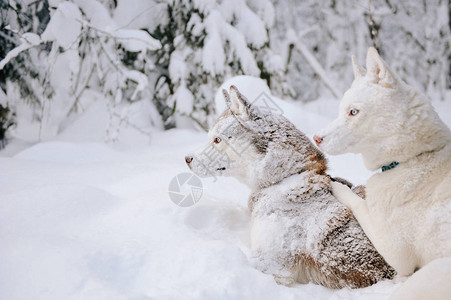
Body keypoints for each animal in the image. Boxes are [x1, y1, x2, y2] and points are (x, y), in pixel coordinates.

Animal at [314, 48, 451, 288]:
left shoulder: (394, 251)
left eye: (353, 112)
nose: (316, 138)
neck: (411, 158)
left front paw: (337, 186)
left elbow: (355, 201)